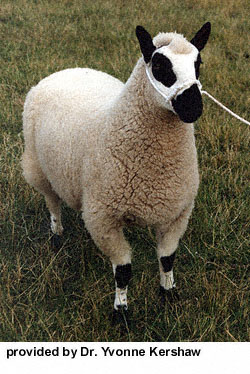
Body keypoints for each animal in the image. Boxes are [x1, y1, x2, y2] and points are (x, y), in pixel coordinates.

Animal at [21, 21, 211, 312]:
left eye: (198, 63)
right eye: (159, 66)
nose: (192, 106)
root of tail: (68, 69)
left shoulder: (177, 212)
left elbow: (167, 259)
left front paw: (168, 294)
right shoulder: (104, 218)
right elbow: (123, 271)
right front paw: (120, 311)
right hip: (38, 167)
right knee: (52, 201)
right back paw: (56, 234)